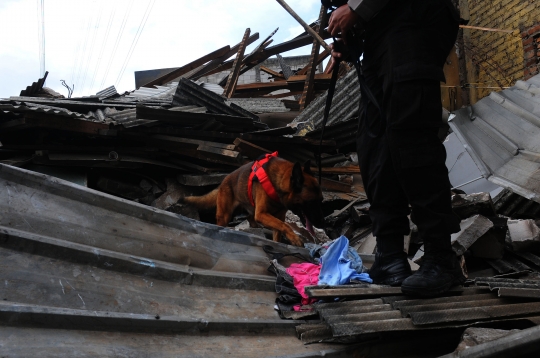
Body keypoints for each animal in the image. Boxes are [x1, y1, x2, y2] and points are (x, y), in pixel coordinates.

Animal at [181, 155, 324, 248]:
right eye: (311, 202)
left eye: (321, 200)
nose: (321, 224)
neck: (277, 182)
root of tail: (223, 182)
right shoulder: (261, 214)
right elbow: (285, 225)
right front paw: (295, 238)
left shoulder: (279, 216)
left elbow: (279, 229)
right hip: (224, 216)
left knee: (250, 217)